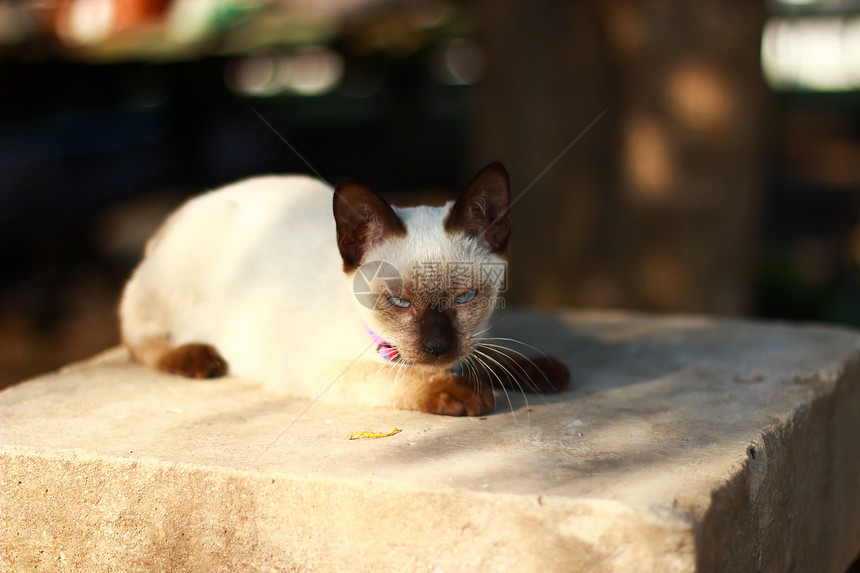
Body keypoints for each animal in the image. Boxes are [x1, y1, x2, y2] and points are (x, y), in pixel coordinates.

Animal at [117, 161, 568, 416]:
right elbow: (398, 378)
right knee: (136, 340)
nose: (438, 348)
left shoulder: (470, 339)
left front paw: (539, 371)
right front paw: (462, 391)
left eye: (466, 298)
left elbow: (490, 356)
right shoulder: (319, 368)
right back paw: (198, 358)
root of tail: (181, 211)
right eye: (400, 302)